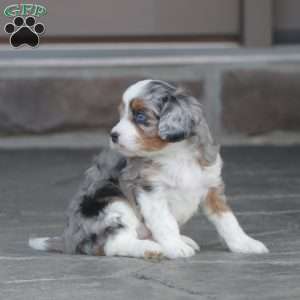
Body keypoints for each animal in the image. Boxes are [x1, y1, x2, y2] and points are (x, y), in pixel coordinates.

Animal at [29, 80, 268, 260]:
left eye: (140, 116)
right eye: (121, 115)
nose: (113, 135)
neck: (176, 154)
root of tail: (69, 239)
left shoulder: (211, 187)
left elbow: (228, 221)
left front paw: (246, 244)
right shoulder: (151, 191)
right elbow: (165, 223)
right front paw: (175, 247)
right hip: (111, 203)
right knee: (114, 244)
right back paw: (150, 249)